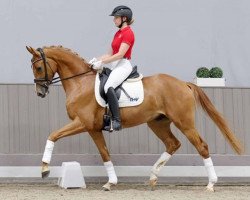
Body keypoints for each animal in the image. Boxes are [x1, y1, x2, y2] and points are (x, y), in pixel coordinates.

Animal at [25, 45, 242, 191]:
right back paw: (153, 177)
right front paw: (110, 182)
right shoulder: (93, 128)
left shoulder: (82, 123)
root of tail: (183, 83)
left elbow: (53, 135)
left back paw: (211, 184)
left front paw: (44, 169)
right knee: (173, 144)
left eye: (38, 68)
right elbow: (105, 153)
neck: (81, 82)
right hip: (157, 123)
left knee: (201, 146)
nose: (40, 92)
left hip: (184, 122)